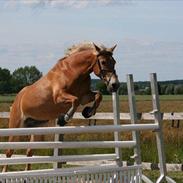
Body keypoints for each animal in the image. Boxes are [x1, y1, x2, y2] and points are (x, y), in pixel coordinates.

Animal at [2, 42, 120, 172]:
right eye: (103, 62)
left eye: (114, 62)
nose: (115, 85)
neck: (74, 71)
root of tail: (17, 98)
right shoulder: (59, 97)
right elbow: (75, 100)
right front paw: (64, 118)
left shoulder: (84, 96)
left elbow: (98, 95)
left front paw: (88, 112)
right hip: (16, 126)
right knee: (9, 151)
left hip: (36, 128)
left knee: (29, 152)